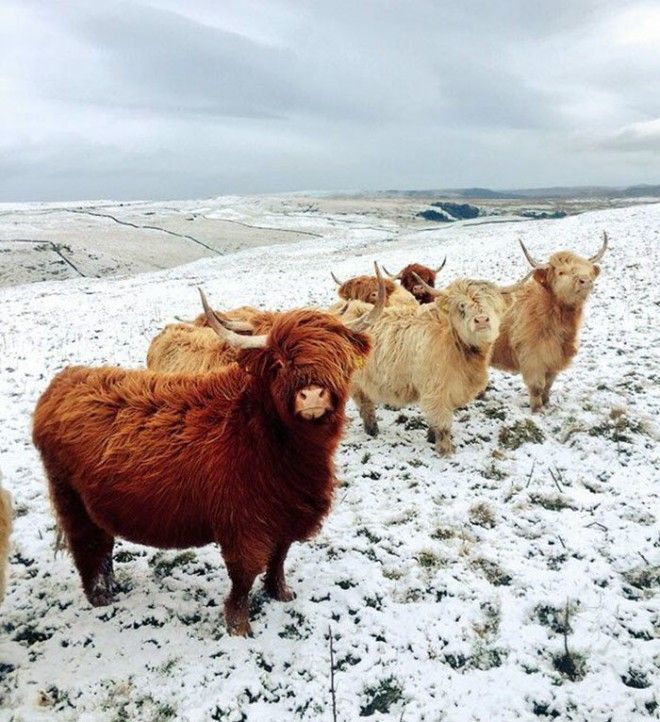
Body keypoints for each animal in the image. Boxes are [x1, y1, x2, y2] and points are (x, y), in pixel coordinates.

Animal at [33, 288, 384, 636]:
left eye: (338, 359)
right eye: (280, 362)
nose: (312, 396)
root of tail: (61, 382)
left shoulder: (288, 513)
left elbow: (279, 556)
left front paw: (280, 593)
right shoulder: (243, 524)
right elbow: (244, 575)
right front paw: (239, 626)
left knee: (103, 546)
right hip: (70, 499)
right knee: (88, 547)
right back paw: (100, 598)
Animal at [346, 272, 524, 452]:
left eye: (492, 303)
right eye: (461, 306)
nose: (481, 320)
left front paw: (431, 438)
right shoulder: (435, 390)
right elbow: (442, 422)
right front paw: (444, 448)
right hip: (355, 383)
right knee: (365, 405)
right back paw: (372, 431)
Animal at [490, 232, 608, 408]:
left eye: (587, 269)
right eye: (561, 272)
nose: (585, 281)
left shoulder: (554, 360)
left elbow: (548, 385)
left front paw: (546, 402)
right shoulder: (533, 359)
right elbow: (537, 387)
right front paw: (537, 409)